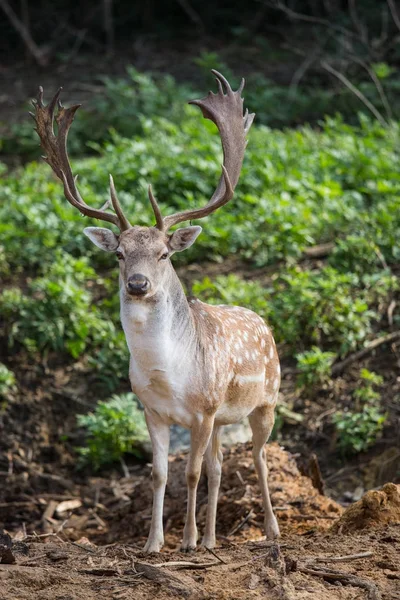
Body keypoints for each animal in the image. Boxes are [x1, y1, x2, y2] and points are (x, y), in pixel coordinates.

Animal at [32, 71, 282, 552]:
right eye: (119, 254)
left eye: (164, 254)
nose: (138, 284)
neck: (170, 378)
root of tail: (263, 321)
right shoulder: (152, 411)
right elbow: (160, 474)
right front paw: (154, 543)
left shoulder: (203, 410)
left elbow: (191, 472)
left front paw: (185, 542)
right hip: (224, 419)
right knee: (220, 467)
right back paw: (213, 540)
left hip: (267, 400)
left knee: (258, 458)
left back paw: (270, 531)